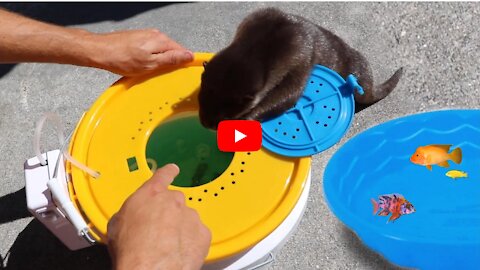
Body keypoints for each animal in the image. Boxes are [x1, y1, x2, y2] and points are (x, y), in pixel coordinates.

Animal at [197, 8, 404, 130]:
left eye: (225, 115)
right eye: (201, 100)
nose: (206, 123)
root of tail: (369, 82)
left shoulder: (300, 56)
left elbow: (289, 95)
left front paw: (247, 119)